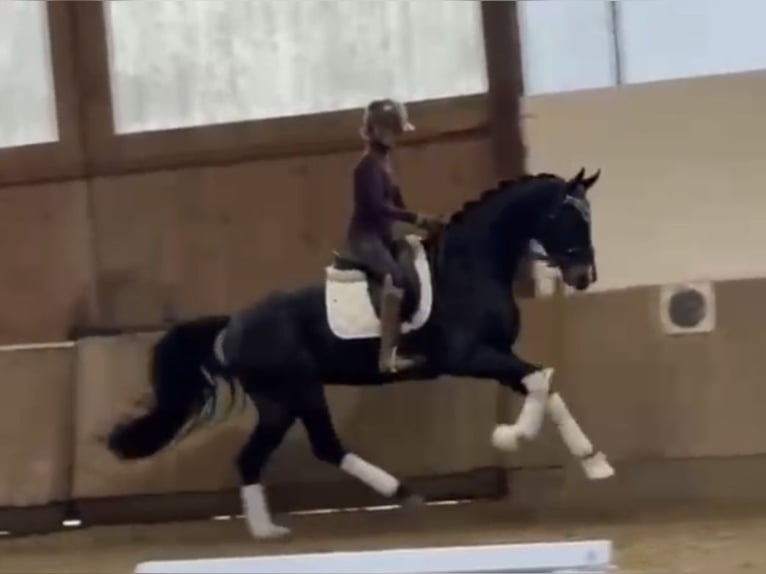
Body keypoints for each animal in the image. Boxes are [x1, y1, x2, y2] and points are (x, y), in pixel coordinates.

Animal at [107, 167, 614, 540]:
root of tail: (232, 325)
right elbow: (540, 379)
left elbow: (545, 384)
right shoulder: (470, 356)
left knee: (260, 457)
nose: (584, 276)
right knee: (318, 447)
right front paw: (510, 437)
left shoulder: (498, 356)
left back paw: (271, 530)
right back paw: (393, 493)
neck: (470, 267)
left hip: (281, 401)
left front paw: (595, 463)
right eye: (565, 218)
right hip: (298, 391)